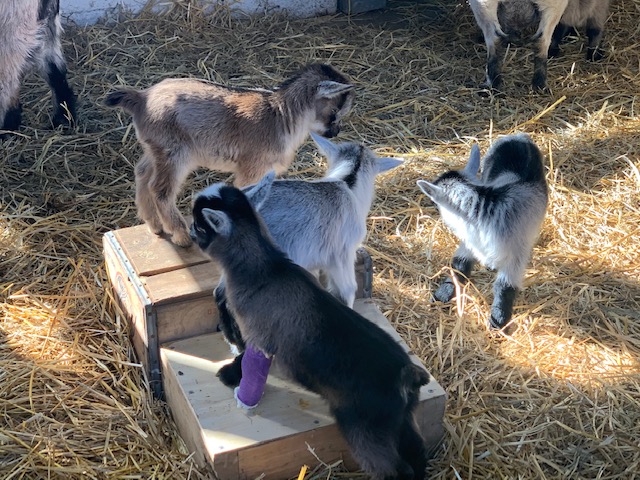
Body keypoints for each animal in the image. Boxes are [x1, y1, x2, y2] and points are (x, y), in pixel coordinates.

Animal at [0, 0, 76, 135]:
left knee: (9, 84)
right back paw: (63, 120)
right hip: (46, 26)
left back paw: (6, 130)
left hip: (12, 30)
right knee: (56, 71)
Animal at [104, 63, 355, 247]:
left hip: (155, 148)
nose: (335, 133)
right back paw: (180, 235)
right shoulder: (252, 167)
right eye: (335, 111)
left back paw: (154, 224)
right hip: (174, 152)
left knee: (142, 173)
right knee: (160, 189)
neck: (282, 117)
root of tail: (141, 98)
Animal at [190, 180, 430, 480]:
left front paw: (232, 379)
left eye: (200, 225)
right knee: (417, 452)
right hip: (401, 420)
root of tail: (406, 373)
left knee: (396, 470)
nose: (189, 232)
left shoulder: (260, 339)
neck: (265, 270)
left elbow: (246, 360)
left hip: (366, 429)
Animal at [417, 133, 548, 331]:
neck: (485, 207)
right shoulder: (470, 242)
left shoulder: (516, 254)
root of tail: (518, 137)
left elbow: (505, 286)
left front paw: (498, 320)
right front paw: (443, 295)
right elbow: (459, 266)